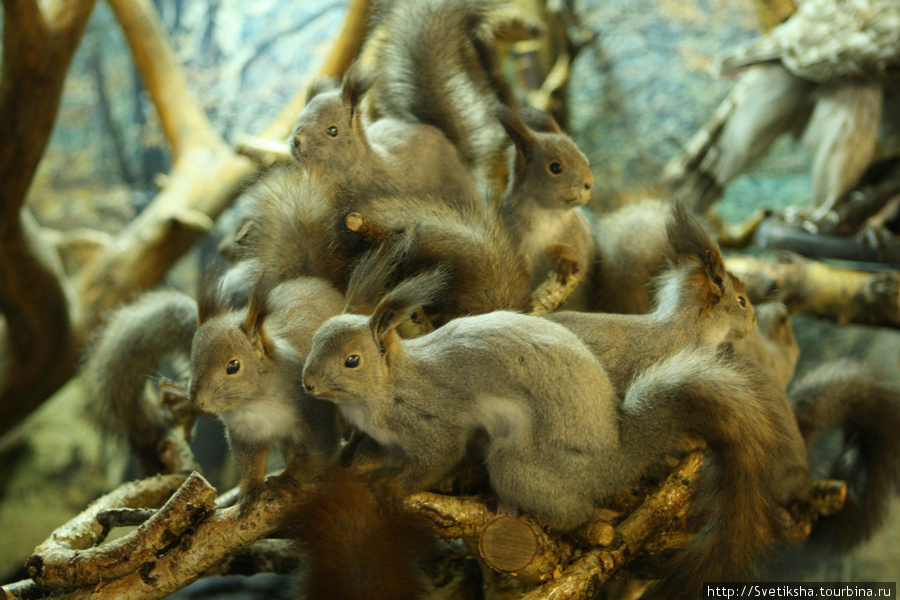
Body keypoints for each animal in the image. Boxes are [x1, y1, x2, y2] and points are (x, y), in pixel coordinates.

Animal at [300, 268, 800, 596]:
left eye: (352, 360)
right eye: (314, 338)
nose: (307, 384)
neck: (381, 392)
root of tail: (614, 458)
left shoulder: (434, 421)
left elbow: (435, 460)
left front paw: (392, 487)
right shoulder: (376, 435)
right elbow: (364, 452)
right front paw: (345, 465)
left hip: (517, 466)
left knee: (575, 513)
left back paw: (510, 505)